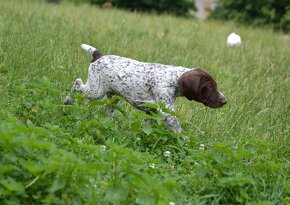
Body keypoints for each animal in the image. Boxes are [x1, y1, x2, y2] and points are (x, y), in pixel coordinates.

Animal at [64, 44, 227, 132]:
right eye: (209, 86)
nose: (224, 101)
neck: (173, 78)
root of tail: (99, 55)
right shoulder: (166, 112)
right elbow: (178, 130)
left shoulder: (151, 111)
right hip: (95, 90)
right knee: (77, 84)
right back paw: (67, 102)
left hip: (113, 97)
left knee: (108, 112)